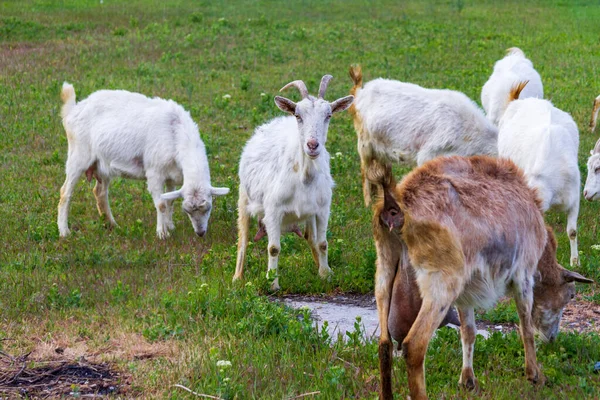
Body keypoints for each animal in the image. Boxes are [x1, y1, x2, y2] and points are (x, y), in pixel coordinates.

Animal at [58, 81, 230, 238]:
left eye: (208, 208)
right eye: (187, 210)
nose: (200, 233)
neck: (176, 132)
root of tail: (73, 110)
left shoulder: (172, 175)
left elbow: (170, 201)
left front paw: (170, 226)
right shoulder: (154, 173)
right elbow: (161, 204)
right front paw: (162, 233)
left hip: (102, 164)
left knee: (99, 192)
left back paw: (112, 225)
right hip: (78, 155)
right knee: (65, 193)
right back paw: (64, 231)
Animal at [233, 73, 356, 290]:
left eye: (328, 115)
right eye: (298, 115)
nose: (312, 145)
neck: (304, 178)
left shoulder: (322, 208)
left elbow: (322, 243)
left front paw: (326, 275)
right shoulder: (273, 210)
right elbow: (273, 248)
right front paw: (272, 283)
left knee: (310, 237)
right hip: (244, 198)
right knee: (243, 237)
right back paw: (237, 277)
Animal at [372, 156, 592, 400]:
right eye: (570, 295)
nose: (552, 338)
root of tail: (395, 207)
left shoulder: (465, 294)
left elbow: (469, 332)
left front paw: (468, 382)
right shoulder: (523, 274)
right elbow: (525, 326)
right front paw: (535, 375)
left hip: (384, 271)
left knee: (384, 344)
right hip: (441, 282)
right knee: (414, 345)